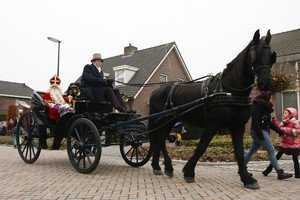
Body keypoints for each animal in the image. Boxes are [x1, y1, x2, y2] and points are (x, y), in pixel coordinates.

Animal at [148, 29, 276, 189]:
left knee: (158, 140)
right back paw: (168, 167)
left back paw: (159, 167)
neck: (229, 91)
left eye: (271, 56)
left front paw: (247, 178)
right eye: (254, 56)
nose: (265, 83)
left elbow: (239, 152)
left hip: (169, 121)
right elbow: (202, 147)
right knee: (159, 140)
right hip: (163, 120)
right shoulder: (212, 125)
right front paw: (189, 172)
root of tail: (155, 91)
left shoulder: (238, 126)